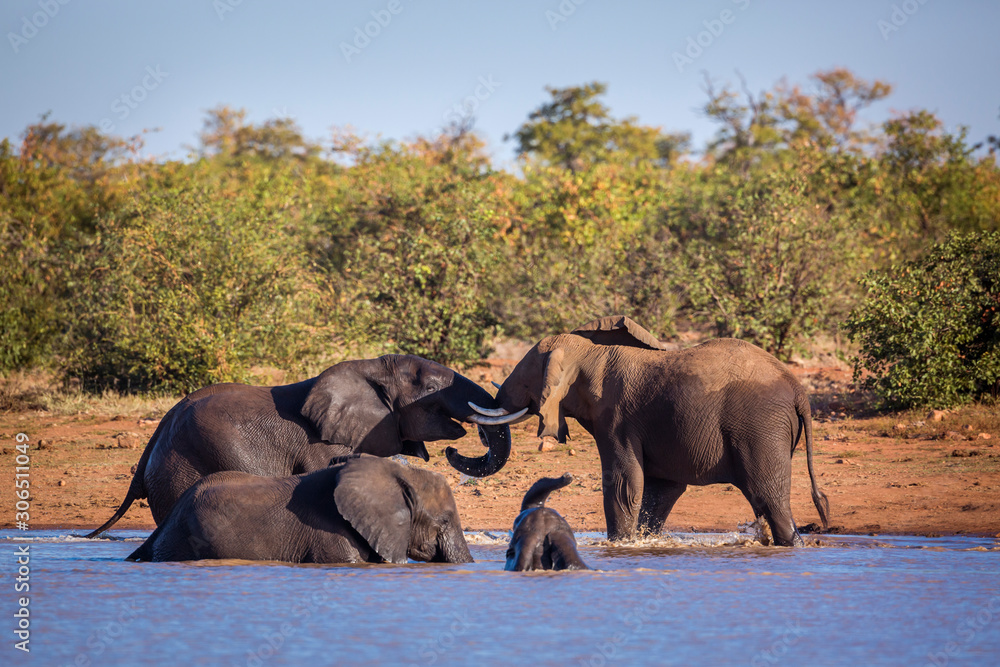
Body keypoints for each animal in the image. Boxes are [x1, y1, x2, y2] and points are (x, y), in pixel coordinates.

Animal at [87, 354, 524, 538]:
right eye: (432, 388)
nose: (455, 451)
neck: (365, 369)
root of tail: (155, 436)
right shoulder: (323, 443)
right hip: (184, 465)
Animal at [472, 316, 829, 546]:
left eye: (525, 378)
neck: (588, 353)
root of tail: (798, 389)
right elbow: (660, 489)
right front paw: (644, 540)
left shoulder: (616, 420)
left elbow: (624, 483)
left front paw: (621, 544)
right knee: (762, 499)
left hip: (760, 428)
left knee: (768, 495)